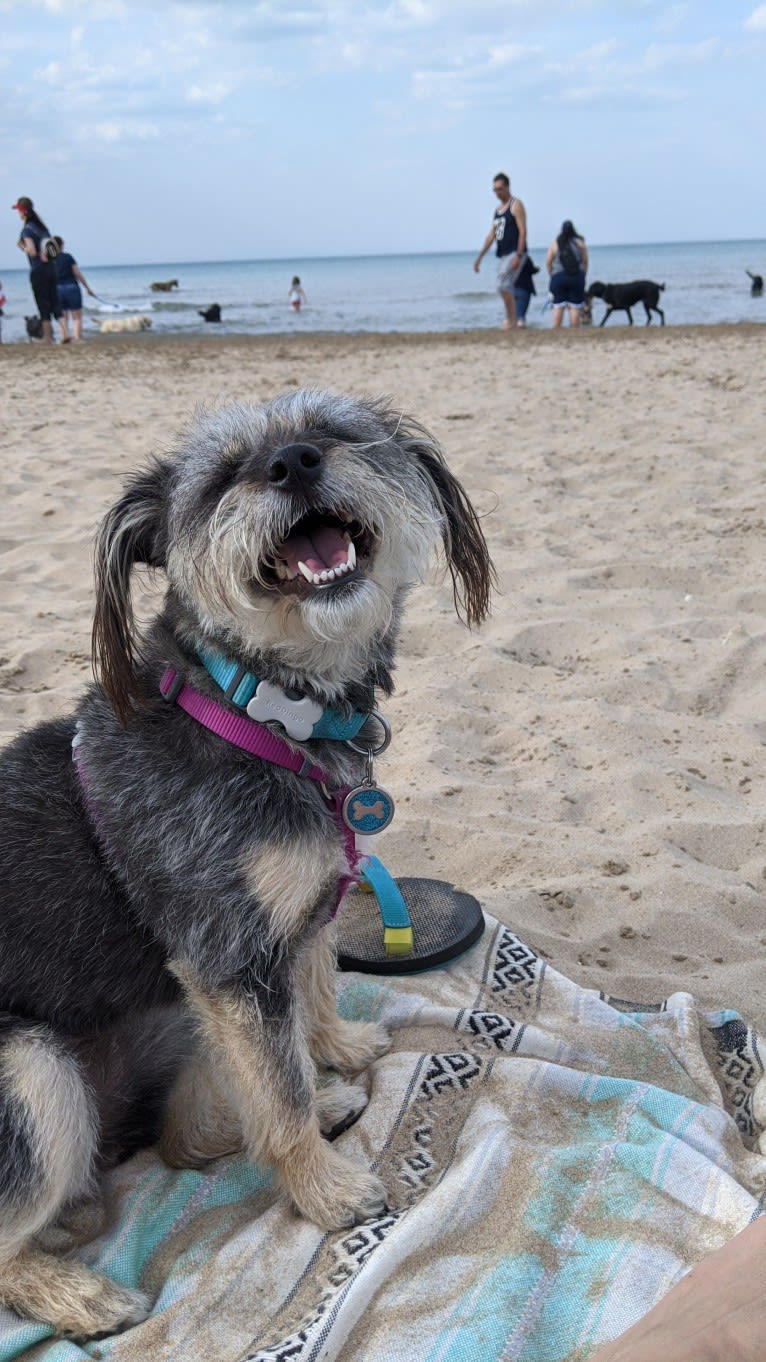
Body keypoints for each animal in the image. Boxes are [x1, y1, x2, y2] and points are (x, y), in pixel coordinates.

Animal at [0, 386, 487, 1340]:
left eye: (333, 431)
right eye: (224, 477)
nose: (293, 463)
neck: (262, 714)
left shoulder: (298, 912)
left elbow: (310, 998)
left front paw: (337, 1051)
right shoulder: (226, 954)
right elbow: (281, 1091)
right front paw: (326, 1195)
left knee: (185, 1136)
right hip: (31, 1073)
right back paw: (75, 1294)